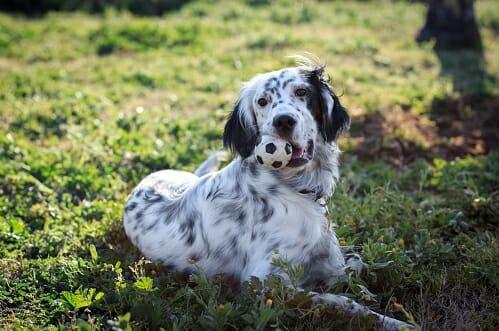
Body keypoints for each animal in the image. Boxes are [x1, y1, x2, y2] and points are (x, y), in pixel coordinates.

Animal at [124, 59, 356, 288]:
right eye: (262, 101)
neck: (292, 186)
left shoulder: (332, 265)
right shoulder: (266, 280)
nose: (283, 121)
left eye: (301, 91)